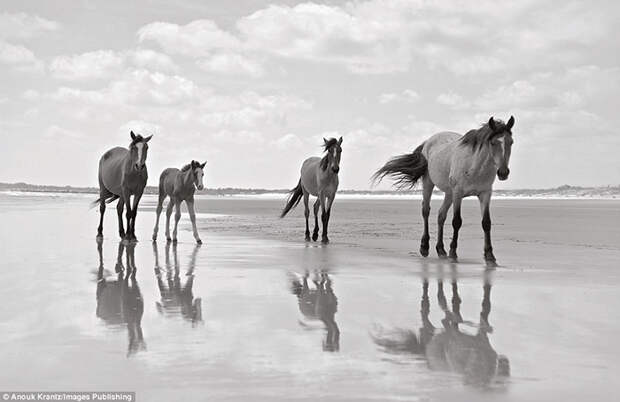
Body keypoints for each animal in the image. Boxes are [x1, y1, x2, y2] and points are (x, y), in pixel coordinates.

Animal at [372, 116, 512, 266]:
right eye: (493, 142)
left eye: (511, 142)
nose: (503, 173)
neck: (474, 166)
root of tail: (427, 142)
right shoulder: (458, 193)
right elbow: (457, 221)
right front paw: (453, 253)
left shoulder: (485, 194)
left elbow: (486, 223)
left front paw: (490, 256)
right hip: (429, 183)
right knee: (426, 210)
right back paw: (425, 247)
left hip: (449, 193)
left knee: (441, 215)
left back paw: (441, 250)